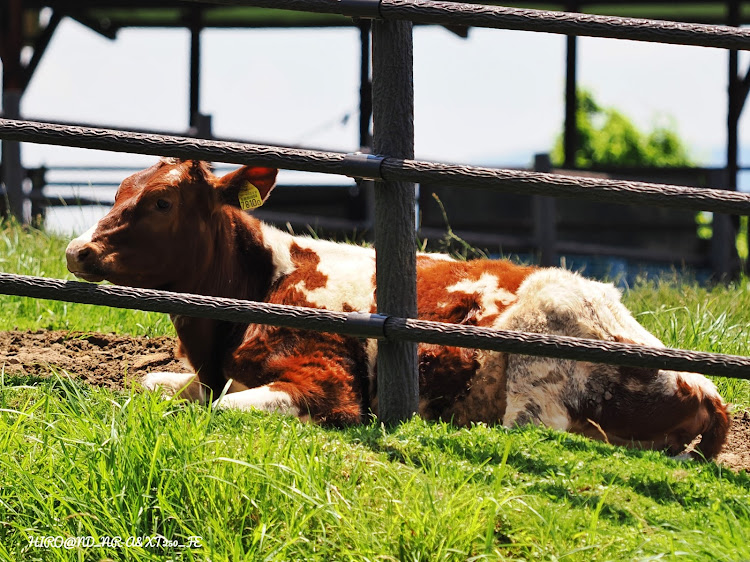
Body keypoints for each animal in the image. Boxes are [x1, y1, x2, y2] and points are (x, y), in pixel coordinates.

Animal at [67, 158, 732, 456]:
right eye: (120, 189)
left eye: (161, 202)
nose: (77, 249)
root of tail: (705, 385)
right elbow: (152, 385)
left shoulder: (328, 384)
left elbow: (230, 407)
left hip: (539, 365)